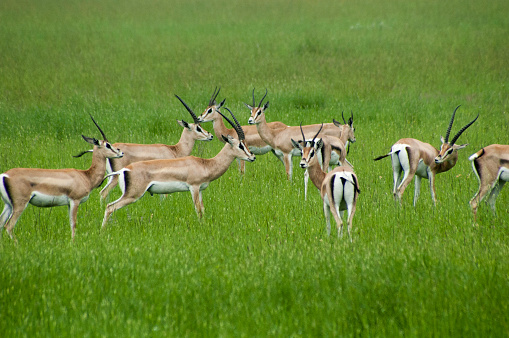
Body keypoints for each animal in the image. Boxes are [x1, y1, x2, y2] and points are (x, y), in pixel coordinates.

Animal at [101, 106, 254, 227]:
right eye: (241, 145)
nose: (252, 157)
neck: (205, 164)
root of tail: (125, 170)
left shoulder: (201, 190)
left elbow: (203, 209)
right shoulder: (194, 187)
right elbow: (198, 210)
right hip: (133, 195)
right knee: (110, 206)